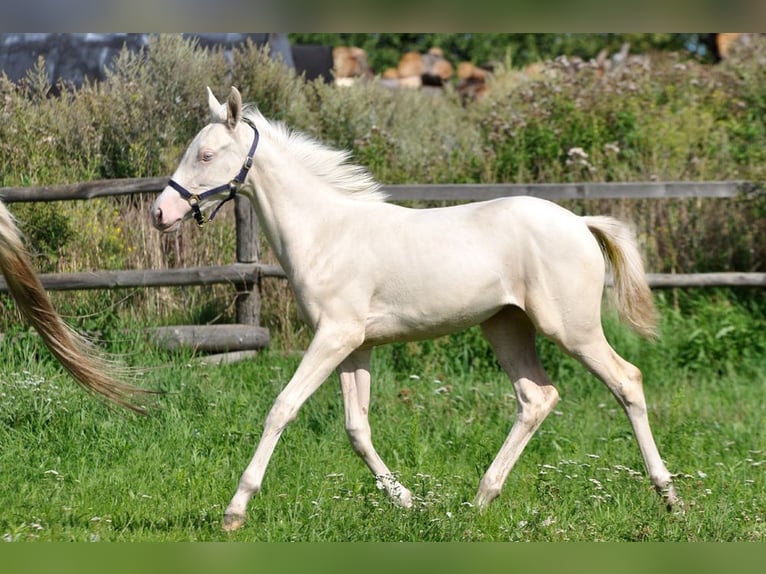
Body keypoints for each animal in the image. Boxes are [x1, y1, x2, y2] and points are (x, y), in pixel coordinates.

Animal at [151, 86, 680, 531]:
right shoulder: (354, 346)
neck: (326, 233)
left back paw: (670, 496)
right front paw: (406, 501)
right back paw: (479, 500)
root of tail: (581, 222)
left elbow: (282, 408)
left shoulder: (334, 336)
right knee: (537, 397)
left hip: (572, 329)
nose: (160, 214)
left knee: (626, 381)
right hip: (505, 327)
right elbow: (357, 428)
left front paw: (235, 510)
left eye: (206, 154)